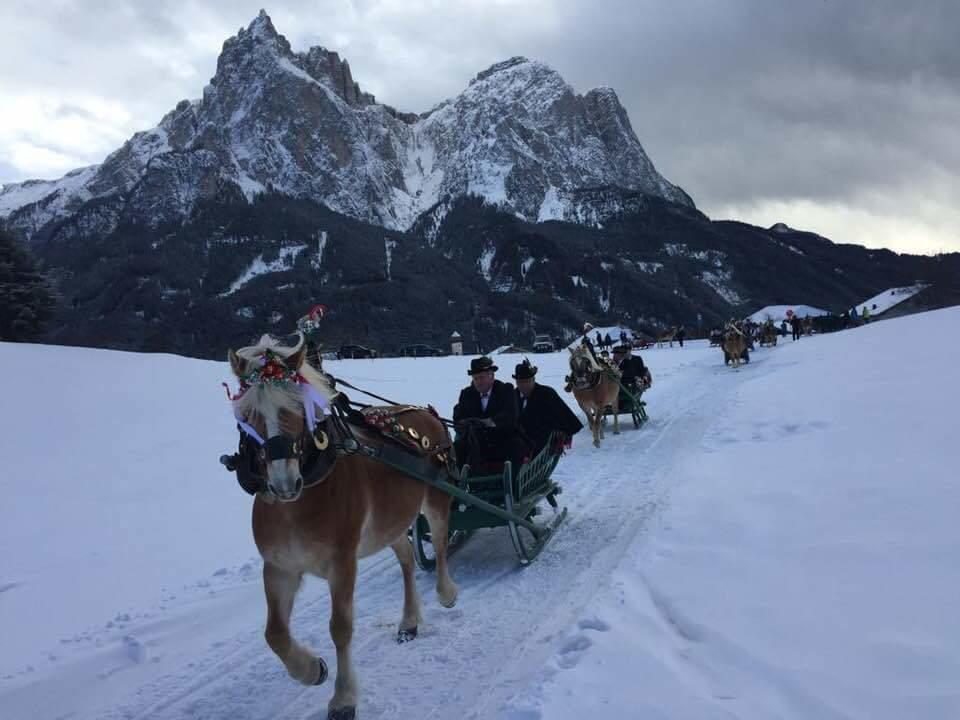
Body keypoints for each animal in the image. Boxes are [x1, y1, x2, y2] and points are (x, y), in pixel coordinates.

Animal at [229, 336, 462, 720]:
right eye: (248, 416)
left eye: (298, 406)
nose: (283, 483)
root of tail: (425, 411)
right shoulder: (279, 567)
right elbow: (274, 634)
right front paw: (311, 670)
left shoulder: (342, 564)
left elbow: (340, 628)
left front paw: (343, 698)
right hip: (390, 522)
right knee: (406, 560)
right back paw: (409, 621)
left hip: (437, 499)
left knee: (441, 544)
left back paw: (446, 592)